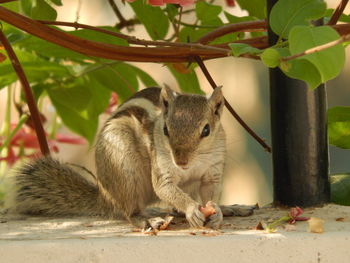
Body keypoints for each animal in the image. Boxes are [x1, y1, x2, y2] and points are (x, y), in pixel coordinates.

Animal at [4, 87, 253, 231]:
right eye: (165, 130)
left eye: (206, 130)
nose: (181, 162)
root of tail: (106, 195)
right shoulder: (162, 169)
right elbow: (167, 189)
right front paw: (192, 209)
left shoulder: (212, 170)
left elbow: (210, 191)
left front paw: (216, 210)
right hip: (123, 165)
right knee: (129, 211)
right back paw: (147, 219)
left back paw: (230, 208)